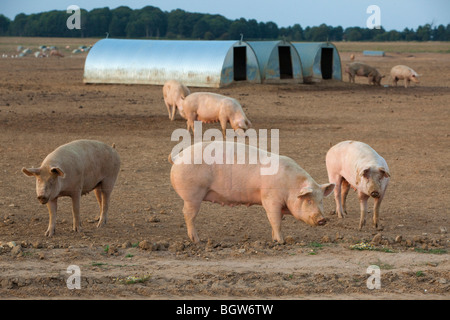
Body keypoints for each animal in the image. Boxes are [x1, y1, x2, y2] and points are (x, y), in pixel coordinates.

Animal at [169, 141, 334, 244]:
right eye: (308, 200)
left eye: (321, 201)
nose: (322, 220)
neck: (290, 185)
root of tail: (177, 157)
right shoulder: (270, 199)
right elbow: (275, 221)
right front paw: (281, 241)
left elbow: (275, 221)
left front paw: (274, 239)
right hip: (193, 195)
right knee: (188, 215)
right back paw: (197, 241)